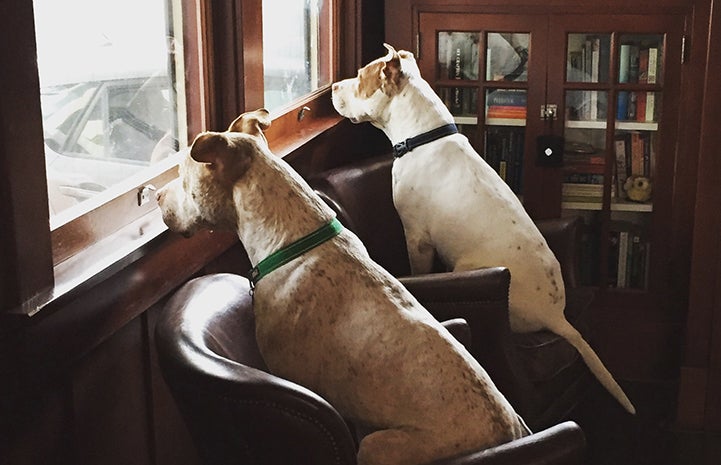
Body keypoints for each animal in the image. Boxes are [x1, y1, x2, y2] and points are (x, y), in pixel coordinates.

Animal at [332, 43, 636, 414]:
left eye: (361, 77)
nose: (333, 87)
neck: (425, 136)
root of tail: (556, 315)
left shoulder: (417, 237)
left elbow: (418, 269)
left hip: (465, 265)